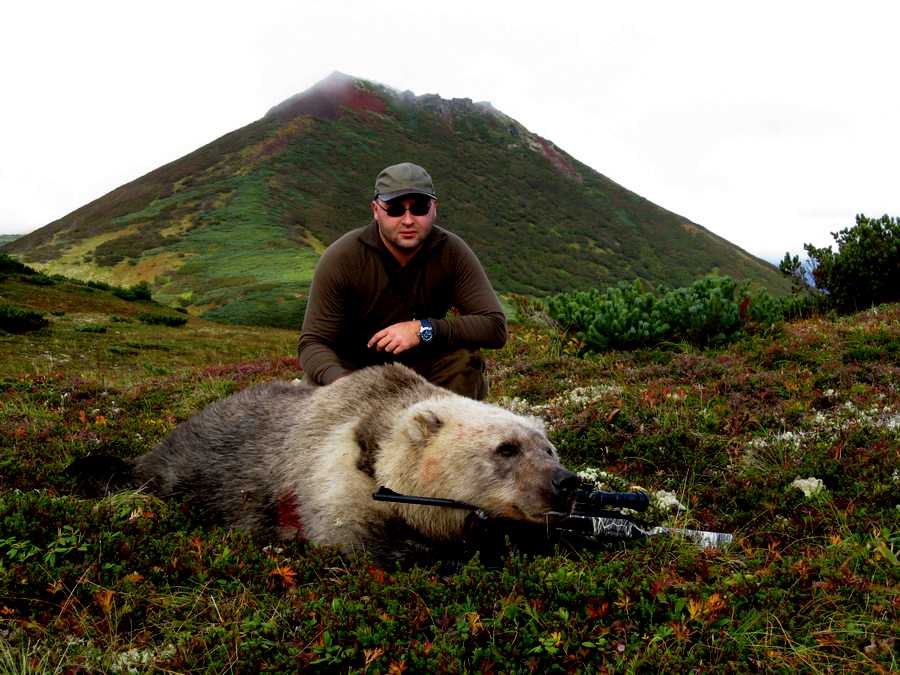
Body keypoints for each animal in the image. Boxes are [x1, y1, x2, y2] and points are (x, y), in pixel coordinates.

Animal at [68, 364, 576, 564]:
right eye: (506, 448)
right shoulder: (330, 479)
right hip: (190, 468)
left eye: (548, 448)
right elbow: (350, 541)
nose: (565, 483)